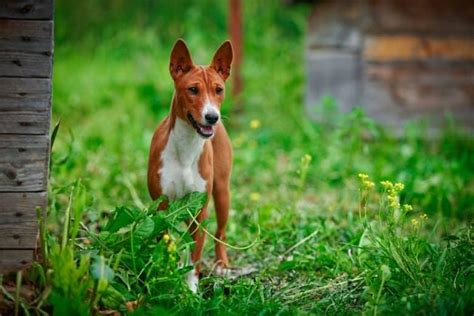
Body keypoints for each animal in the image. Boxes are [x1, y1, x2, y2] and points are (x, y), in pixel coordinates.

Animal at [145, 40, 232, 294]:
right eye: (193, 90)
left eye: (218, 89)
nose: (212, 117)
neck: (186, 148)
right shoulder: (162, 207)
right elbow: (166, 243)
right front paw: (165, 277)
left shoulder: (199, 211)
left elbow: (194, 257)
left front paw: (191, 291)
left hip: (221, 192)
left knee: (220, 232)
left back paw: (222, 265)